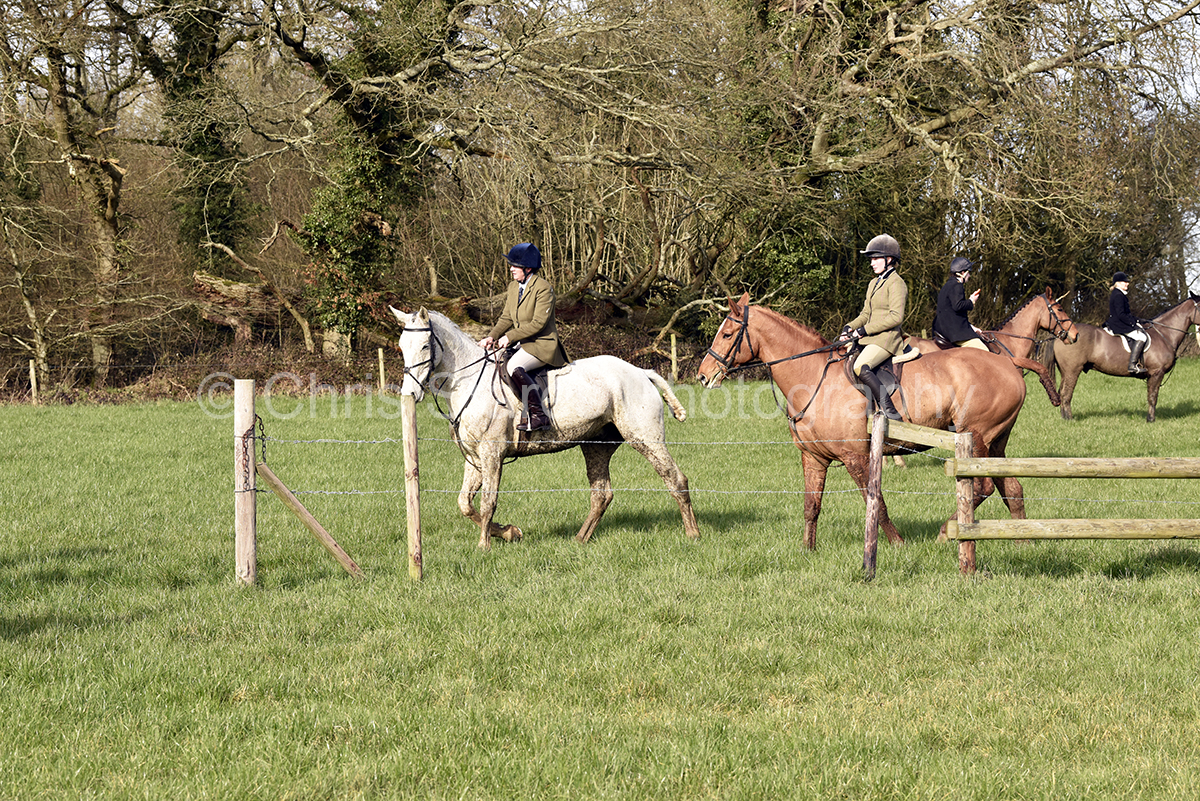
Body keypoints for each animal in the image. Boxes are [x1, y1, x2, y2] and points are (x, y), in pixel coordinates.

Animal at [390, 306, 700, 549]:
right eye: (402, 347)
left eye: (425, 346)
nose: (410, 394)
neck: (468, 382)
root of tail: (641, 373)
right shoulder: (475, 458)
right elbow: (465, 504)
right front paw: (510, 533)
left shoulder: (492, 455)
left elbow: (488, 501)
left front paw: (484, 546)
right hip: (596, 446)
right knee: (601, 494)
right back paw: (580, 539)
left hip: (645, 439)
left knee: (675, 480)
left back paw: (693, 534)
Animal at [697, 293, 1032, 549]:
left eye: (727, 334)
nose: (703, 375)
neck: (813, 377)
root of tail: (1007, 363)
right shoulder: (813, 457)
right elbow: (811, 505)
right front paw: (807, 549)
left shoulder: (855, 457)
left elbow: (876, 502)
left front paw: (897, 544)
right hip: (994, 443)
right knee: (1011, 487)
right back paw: (1020, 539)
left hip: (976, 437)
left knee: (983, 487)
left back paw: (945, 531)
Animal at [1044, 291, 1200, 422]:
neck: (1164, 333)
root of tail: (1061, 336)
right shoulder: (1156, 373)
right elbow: (1152, 397)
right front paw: (1151, 420)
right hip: (1072, 370)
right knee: (1066, 393)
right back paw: (1069, 420)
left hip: (1065, 371)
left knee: (1063, 392)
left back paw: (1065, 418)